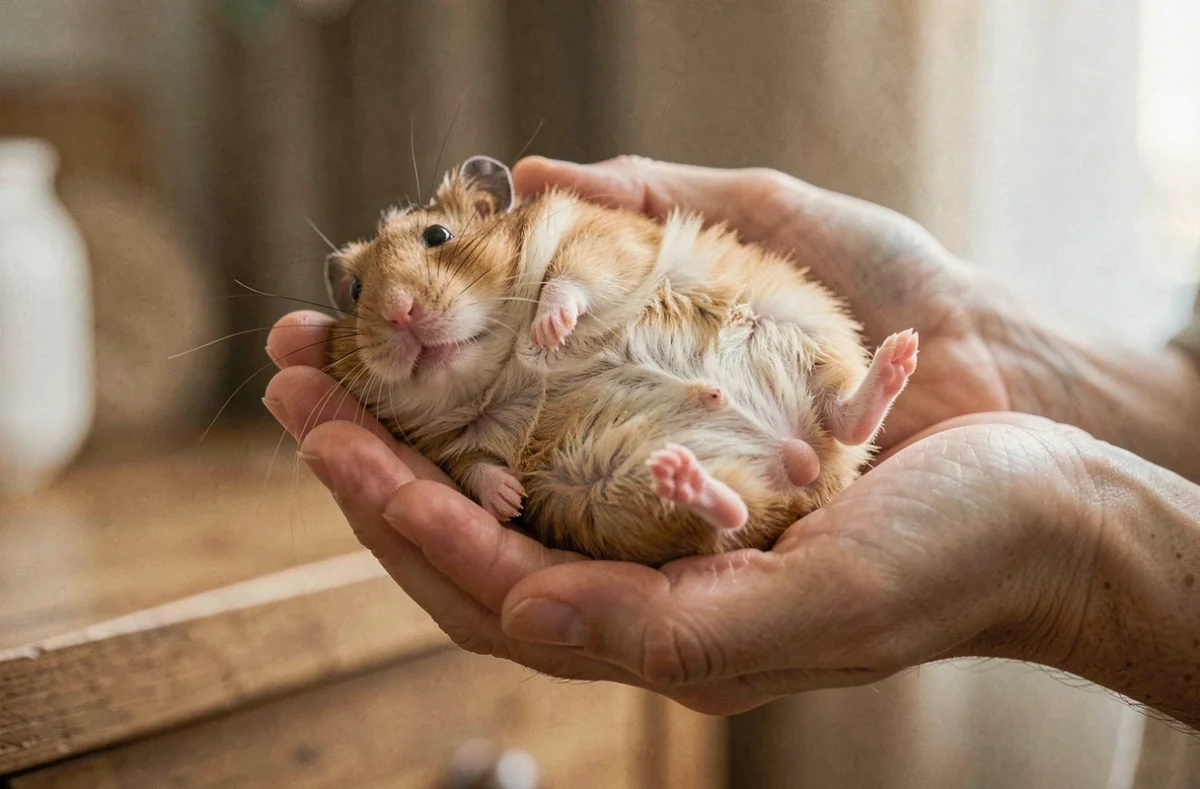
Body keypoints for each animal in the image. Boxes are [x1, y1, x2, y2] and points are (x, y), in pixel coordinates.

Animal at [322, 155, 918, 566]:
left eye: (438, 235)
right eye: (355, 291)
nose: (400, 312)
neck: (495, 365)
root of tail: (805, 465)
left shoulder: (598, 240)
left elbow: (567, 281)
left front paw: (549, 332)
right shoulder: (452, 443)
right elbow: (476, 469)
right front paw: (510, 502)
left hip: (806, 316)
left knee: (845, 413)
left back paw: (899, 354)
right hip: (606, 490)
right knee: (732, 512)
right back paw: (684, 478)